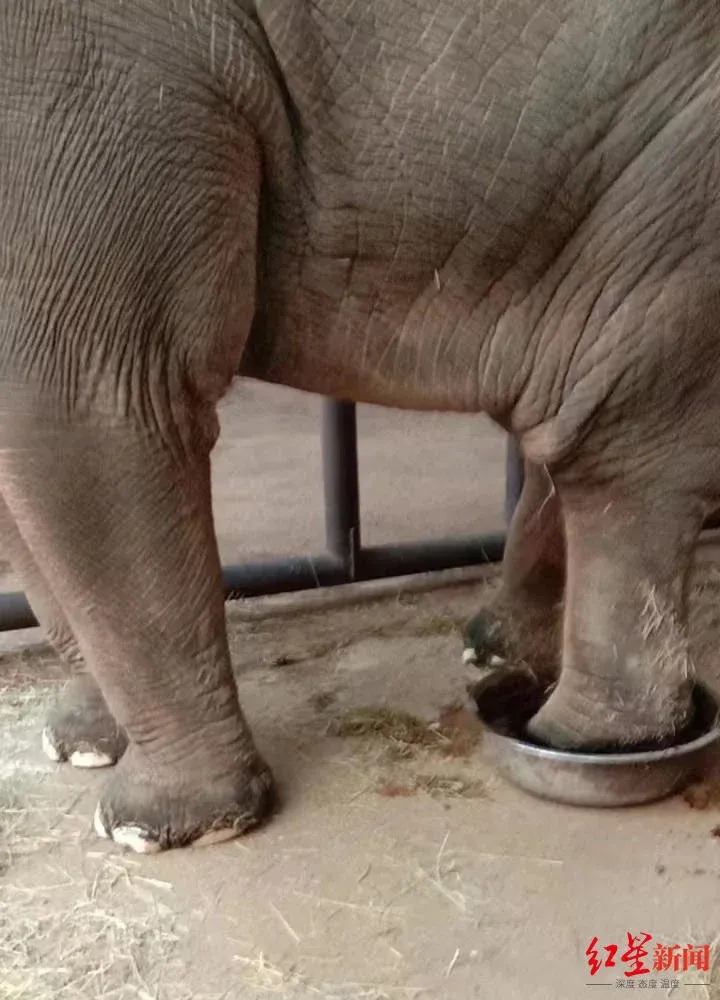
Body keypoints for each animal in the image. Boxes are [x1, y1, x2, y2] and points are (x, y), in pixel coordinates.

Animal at [2, 0, 719, 853]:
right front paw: (84, 747)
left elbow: (86, 399)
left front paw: (159, 831)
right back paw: (497, 655)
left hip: (682, 185)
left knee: (615, 442)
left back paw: (578, 739)